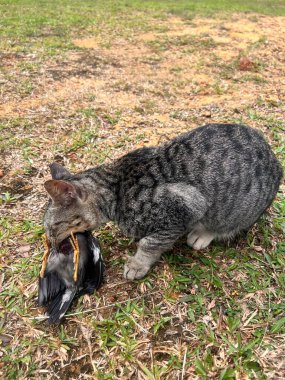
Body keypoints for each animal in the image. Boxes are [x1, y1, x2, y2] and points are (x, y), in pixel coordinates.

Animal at [42, 123, 282, 280]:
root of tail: (276, 162)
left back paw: (203, 234)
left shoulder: (186, 207)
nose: (50, 244)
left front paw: (138, 264)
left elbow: (150, 242)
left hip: (237, 211)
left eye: (52, 227)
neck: (116, 187)